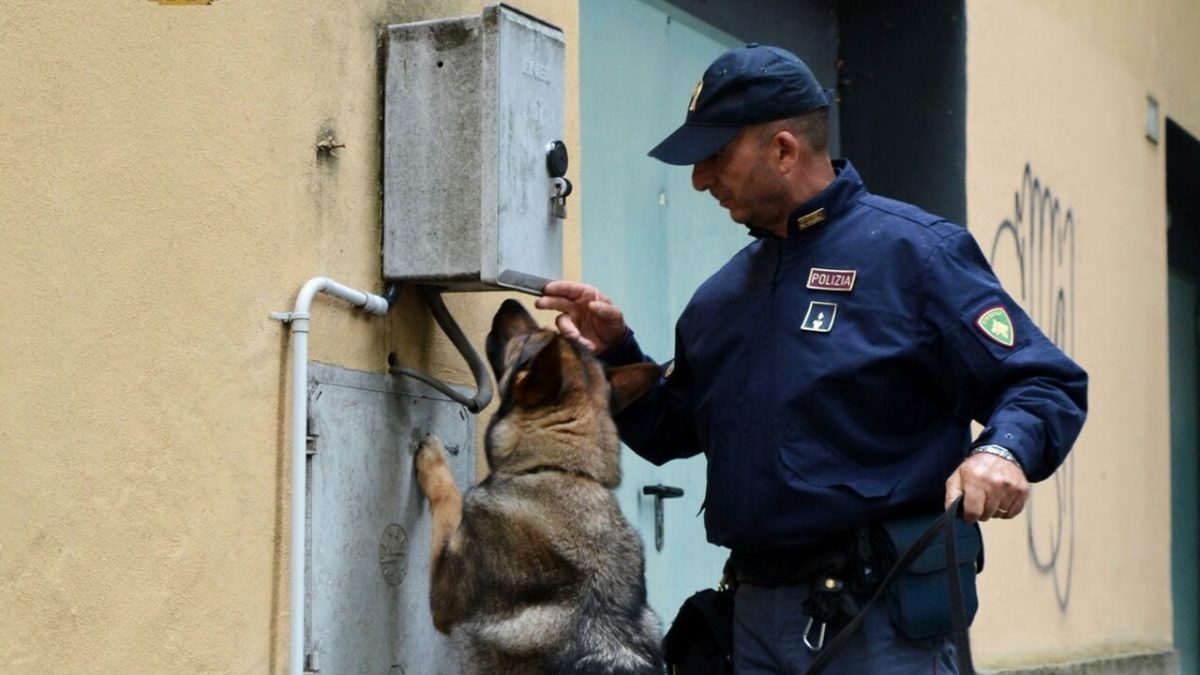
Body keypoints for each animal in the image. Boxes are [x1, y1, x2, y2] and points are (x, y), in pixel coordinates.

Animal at [417, 299, 667, 672]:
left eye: (533, 338)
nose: (510, 302)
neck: (559, 470)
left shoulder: (444, 595)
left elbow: (451, 501)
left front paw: (433, 460)